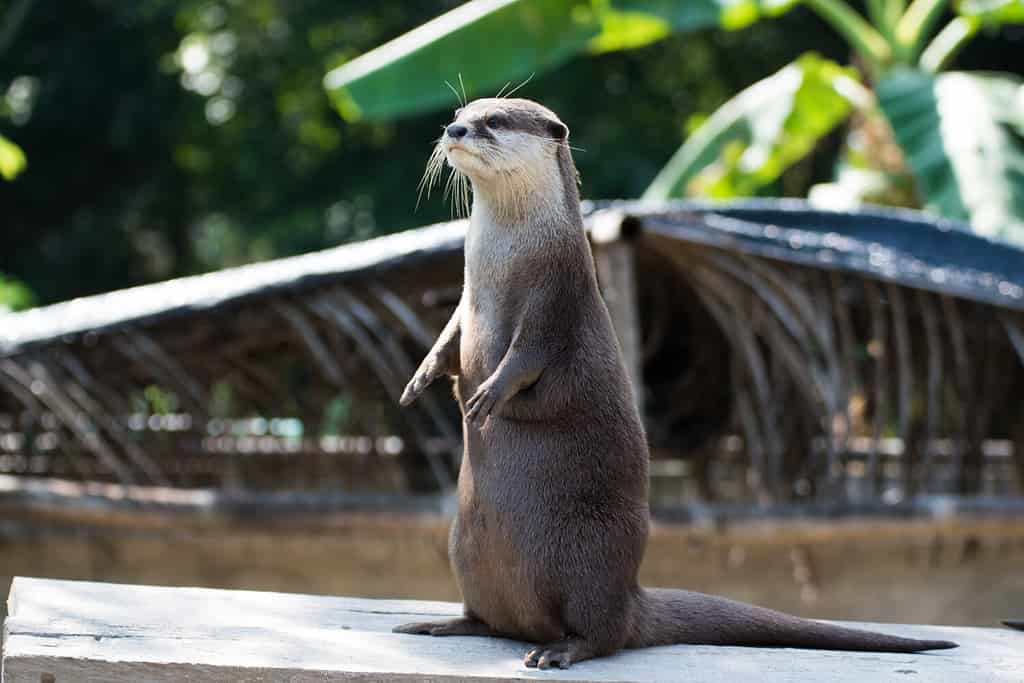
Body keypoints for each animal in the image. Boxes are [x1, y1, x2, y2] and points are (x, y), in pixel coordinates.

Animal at [393, 96, 958, 667]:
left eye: (494, 121)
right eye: (463, 111)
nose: (454, 129)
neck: (502, 261)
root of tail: (632, 596)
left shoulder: (557, 298)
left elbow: (528, 356)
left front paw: (487, 394)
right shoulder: (467, 299)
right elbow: (450, 339)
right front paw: (419, 381)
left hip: (586, 558)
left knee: (604, 634)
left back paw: (560, 650)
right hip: (463, 544)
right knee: (490, 617)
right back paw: (443, 623)